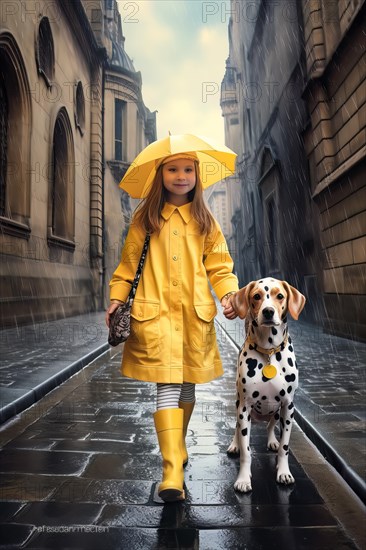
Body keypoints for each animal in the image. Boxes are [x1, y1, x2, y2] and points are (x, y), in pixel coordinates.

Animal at [229, 278, 306, 494]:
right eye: (257, 296)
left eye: (280, 296)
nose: (268, 311)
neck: (270, 351)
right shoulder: (244, 407)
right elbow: (246, 451)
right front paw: (243, 479)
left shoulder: (288, 407)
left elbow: (285, 448)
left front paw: (284, 473)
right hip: (238, 406)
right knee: (236, 427)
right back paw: (234, 444)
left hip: (277, 412)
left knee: (271, 425)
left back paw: (272, 441)